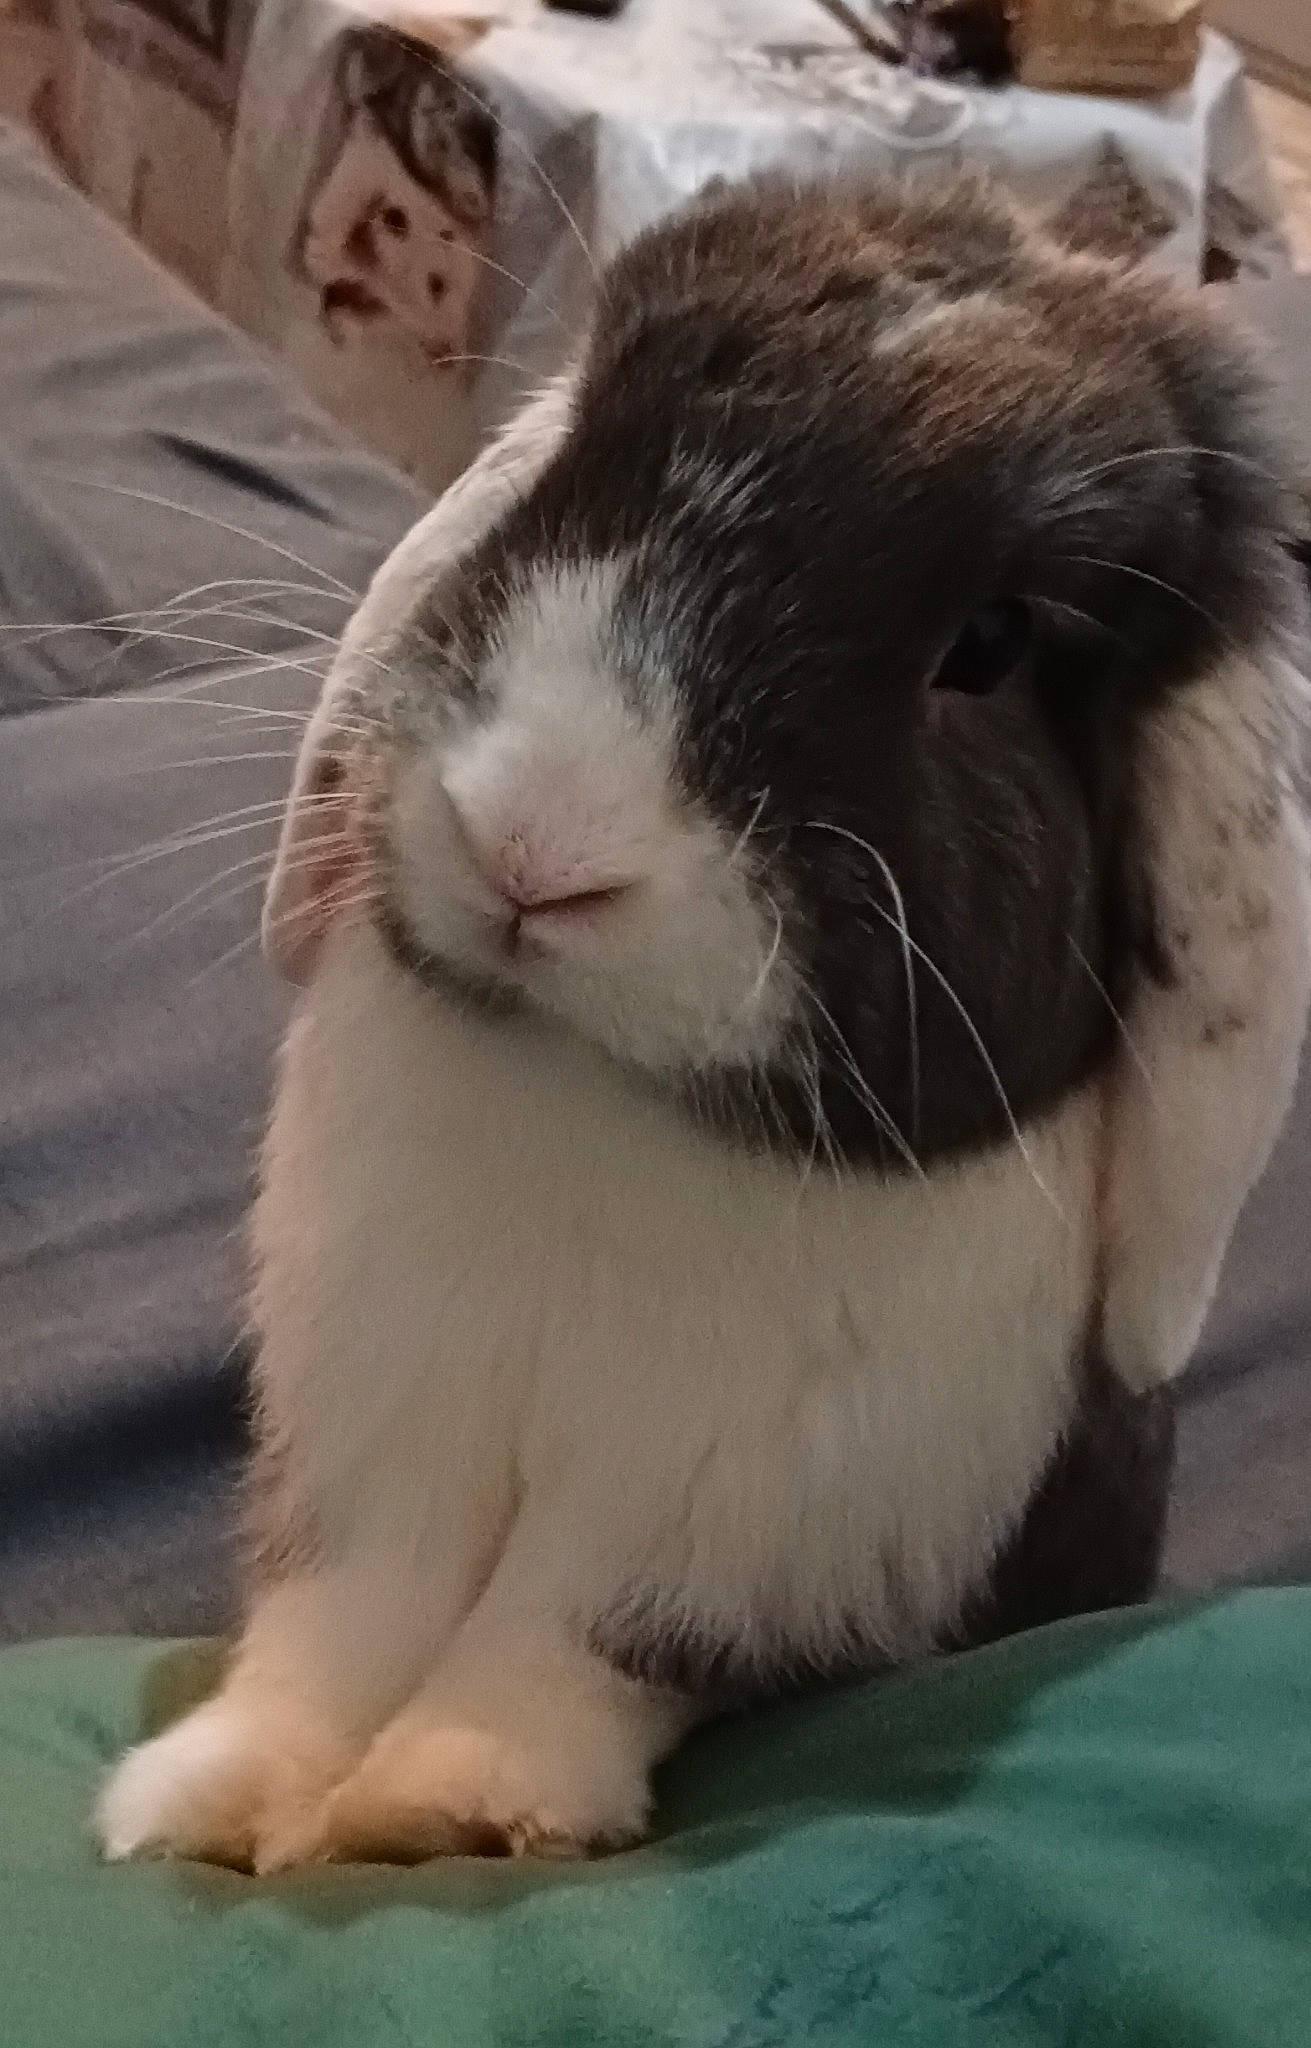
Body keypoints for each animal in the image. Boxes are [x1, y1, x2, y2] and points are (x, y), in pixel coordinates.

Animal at [97, 174, 1311, 1871]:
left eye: (990, 648)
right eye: (575, 459)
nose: (532, 842)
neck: (586, 1087)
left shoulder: (720, 1511)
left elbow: (567, 1648)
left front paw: (441, 1811)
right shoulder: (378, 1432)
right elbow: (341, 1626)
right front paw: (208, 1802)